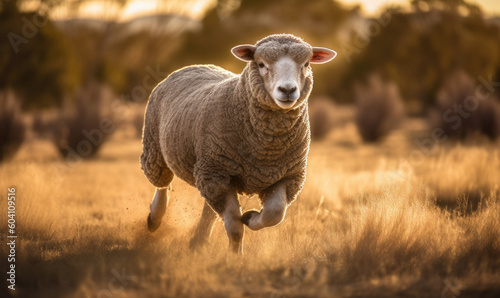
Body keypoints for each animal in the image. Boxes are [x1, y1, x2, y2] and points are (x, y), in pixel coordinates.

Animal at [140, 33, 336, 253]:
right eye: (261, 64)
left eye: (306, 64)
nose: (287, 90)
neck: (265, 150)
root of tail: (195, 65)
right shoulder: (217, 172)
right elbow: (234, 226)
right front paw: (235, 255)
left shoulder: (288, 176)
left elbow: (274, 213)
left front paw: (250, 218)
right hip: (156, 149)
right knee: (162, 184)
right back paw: (154, 218)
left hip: (209, 172)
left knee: (208, 208)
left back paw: (198, 241)